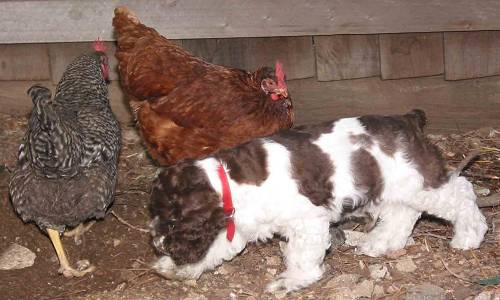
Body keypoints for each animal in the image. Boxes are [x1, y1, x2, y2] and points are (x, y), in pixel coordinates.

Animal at [150, 109, 486, 292]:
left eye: (171, 220)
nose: (156, 244)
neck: (227, 180)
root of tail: (409, 121)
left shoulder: (307, 221)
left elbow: (302, 256)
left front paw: (292, 280)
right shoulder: (236, 224)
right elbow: (213, 248)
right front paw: (179, 269)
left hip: (419, 182)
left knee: (461, 193)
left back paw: (470, 234)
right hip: (394, 186)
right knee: (402, 215)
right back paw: (379, 243)